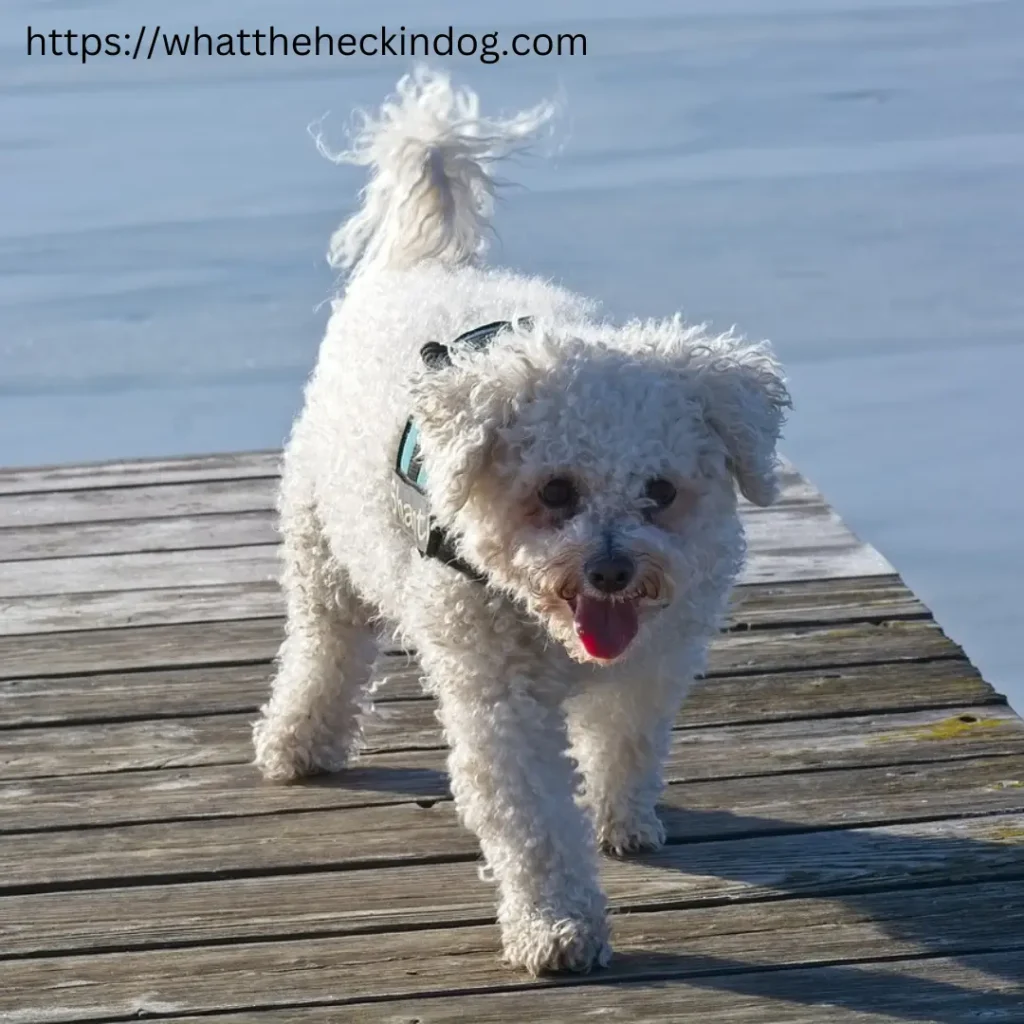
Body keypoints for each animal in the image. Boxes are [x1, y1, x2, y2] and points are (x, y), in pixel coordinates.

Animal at [249, 68, 790, 978]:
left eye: (660, 491)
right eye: (556, 490)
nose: (611, 570)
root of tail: (423, 262)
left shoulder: (655, 661)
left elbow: (627, 742)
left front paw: (623, 821)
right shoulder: (500, 703)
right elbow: (533, 821)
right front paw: (558, 926)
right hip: (323, 550)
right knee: (324, 648)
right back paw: (297, 742)